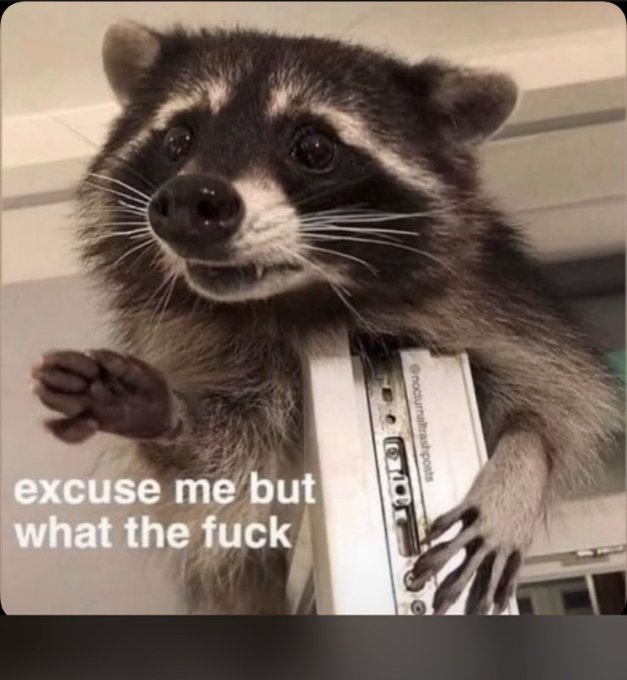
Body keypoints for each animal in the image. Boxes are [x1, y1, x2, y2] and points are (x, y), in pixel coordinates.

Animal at [32, 21, 622, 615]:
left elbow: (562, 400)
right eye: (178, 139)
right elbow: (225, 471)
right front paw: (170, 418)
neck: (297, 299)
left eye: (314, 147)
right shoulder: (213, 347)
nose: (188, 200)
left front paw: (519, 472)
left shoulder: (497, 302)